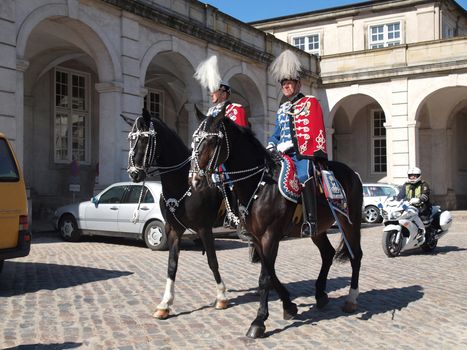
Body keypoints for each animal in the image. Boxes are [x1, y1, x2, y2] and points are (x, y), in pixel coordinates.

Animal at [128, 110, 230, 320]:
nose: (134, 174)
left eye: (145, 139)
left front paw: (221, 296)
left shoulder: (204, 228)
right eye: (131, 139)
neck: (184, 183)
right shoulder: (173, 229)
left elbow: (212, 261)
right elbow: (172, 265)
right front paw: (165, 304)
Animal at [190, 109, 366, 340]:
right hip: (317, 229)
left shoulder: (270, 235)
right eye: (194, 141)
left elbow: (265, 278)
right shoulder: (257, 238)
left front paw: (258, 322)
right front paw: (289, 306)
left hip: (349, 222)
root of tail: (352, 173)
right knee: (327, 253)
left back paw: (351, 299)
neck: (260, 183)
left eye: (212, 141)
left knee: (356, 255)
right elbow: (270, 273)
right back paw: (320, 294)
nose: (195, 181)